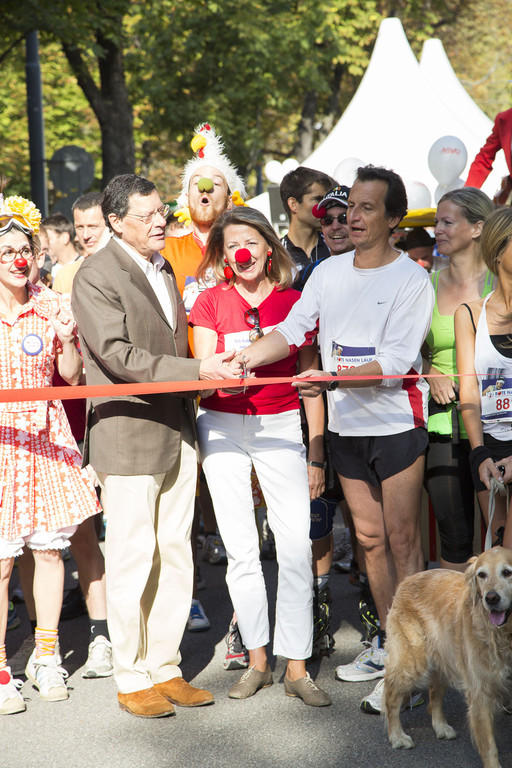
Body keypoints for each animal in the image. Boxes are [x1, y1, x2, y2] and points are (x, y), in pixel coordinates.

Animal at [383, 547, 512, 768]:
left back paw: (440, 726)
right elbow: (489, 747)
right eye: (482, 575)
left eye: (507, 572)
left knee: (434, 696)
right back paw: (397, 736)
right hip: (413, 663)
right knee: (391, 696)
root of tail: (409, 579)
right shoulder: (480, 693)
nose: (491, 598)